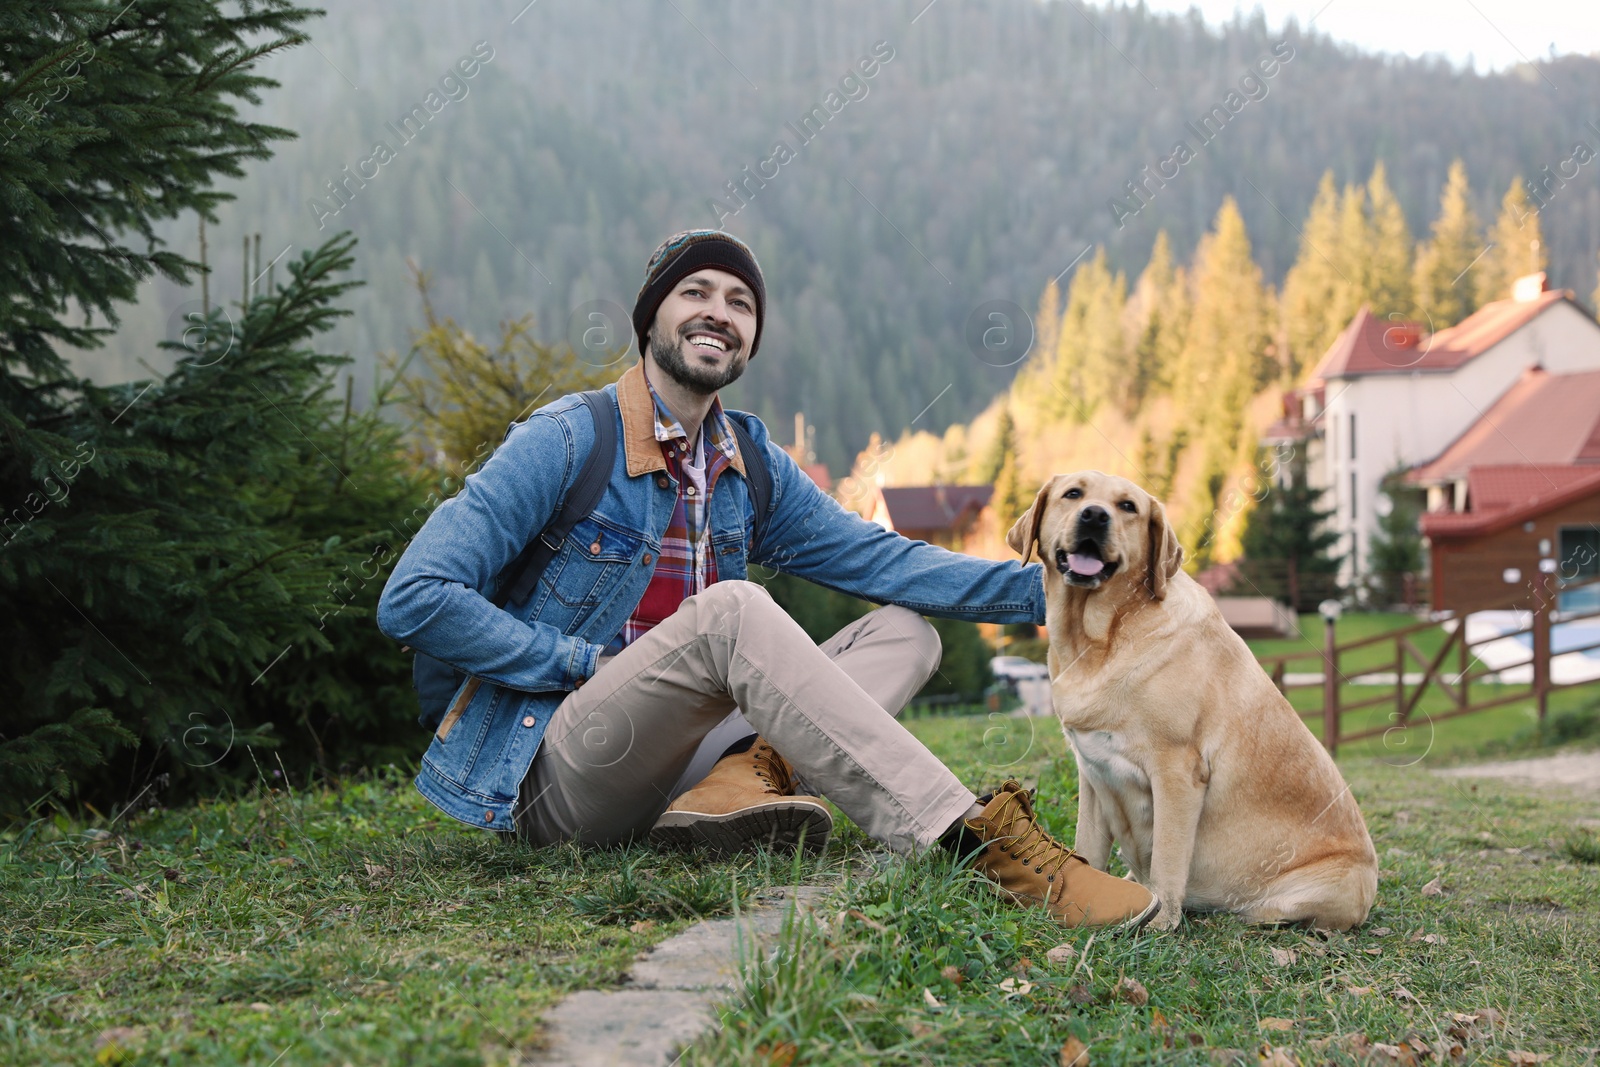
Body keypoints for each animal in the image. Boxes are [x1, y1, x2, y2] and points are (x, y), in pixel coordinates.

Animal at [1011, 470, 1376, 927]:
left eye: (1128, 506)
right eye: (1073, 494)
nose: (1094, 516)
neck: (1100, 639)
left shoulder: (1177, 772)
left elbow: (1168, 857)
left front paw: (1161, 921)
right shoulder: (1092, 773)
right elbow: (1087, 847)